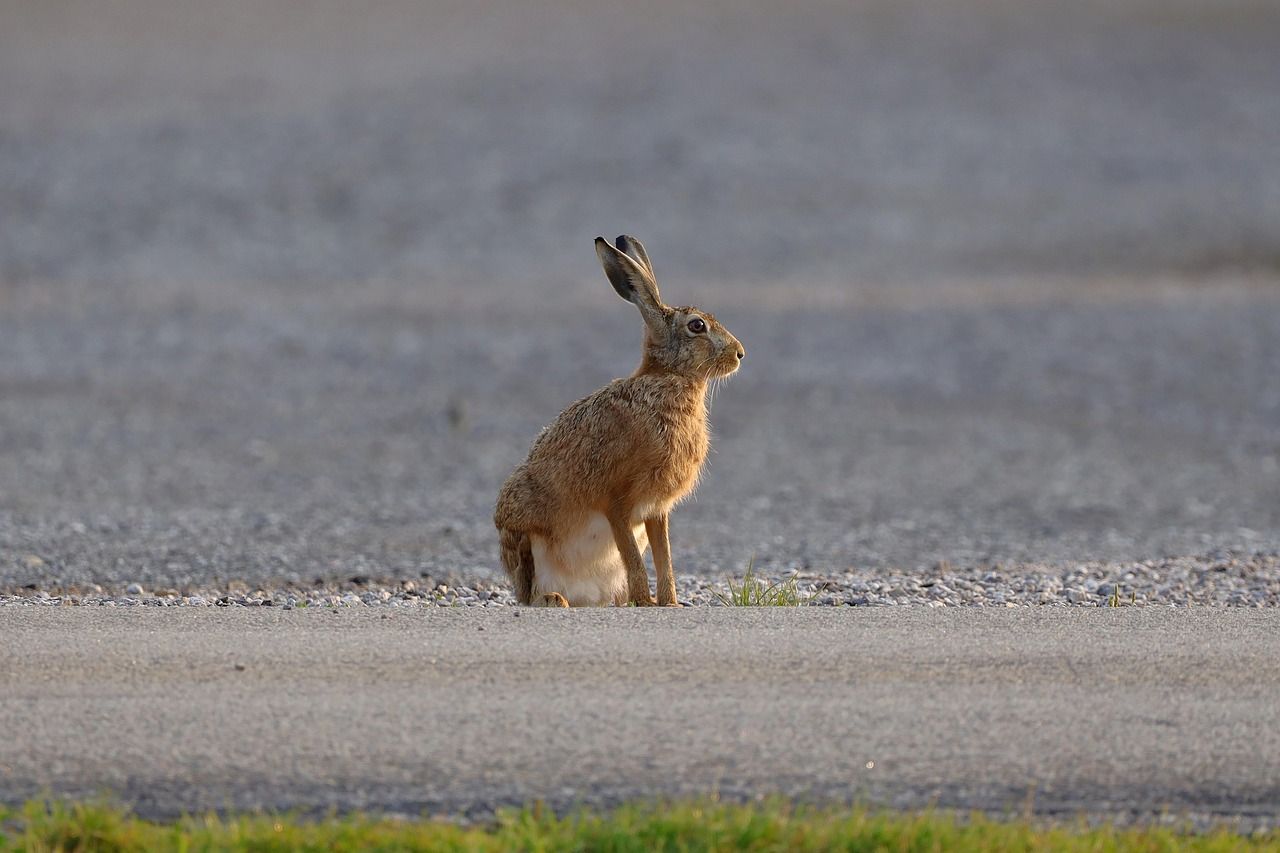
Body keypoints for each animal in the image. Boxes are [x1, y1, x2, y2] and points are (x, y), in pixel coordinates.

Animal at [494, 235, 745, 607]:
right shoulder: (616, 502)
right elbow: (634, 558)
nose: (740, 353)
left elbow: (664, 557)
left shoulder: (657, 510)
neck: (667, 380)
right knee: (529, 593)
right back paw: (555, 599)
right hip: (523, 533)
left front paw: (669, 602)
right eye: (697, 325)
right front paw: (646, 602)